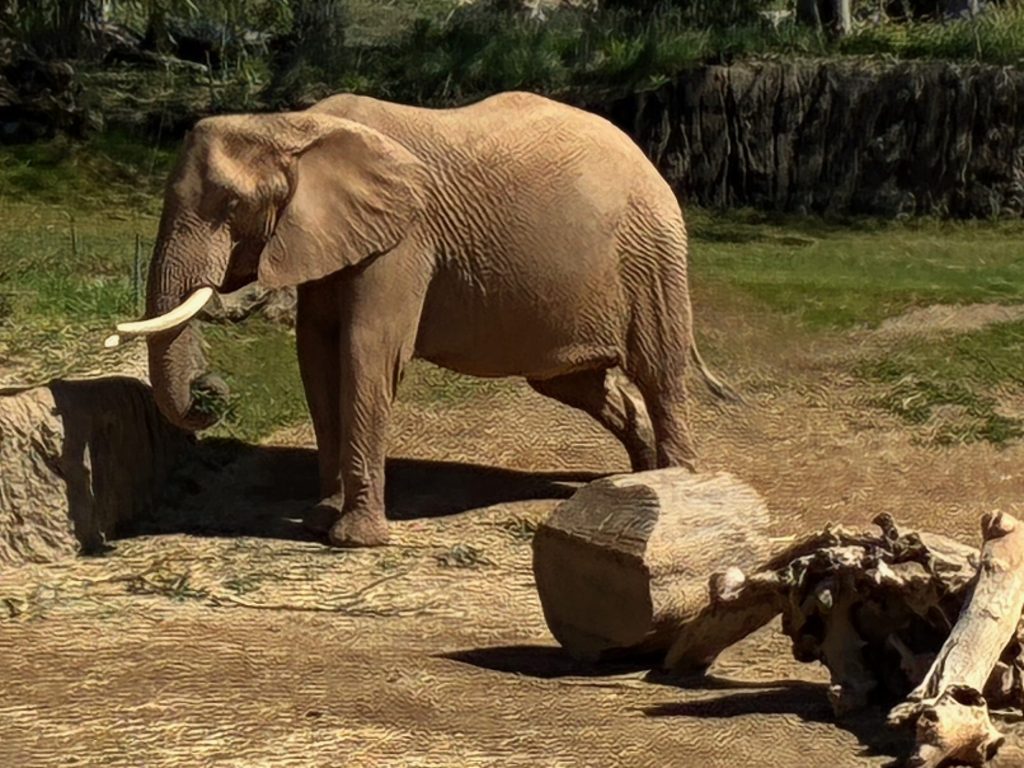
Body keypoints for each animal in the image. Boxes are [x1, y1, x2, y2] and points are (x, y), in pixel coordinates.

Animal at [112, 90, 733, 548]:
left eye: (232, 207)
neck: (293, 124)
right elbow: (316, 355)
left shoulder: (404, 241)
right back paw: (641, 480)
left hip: (649, 256)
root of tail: (650, 163)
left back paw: (678, 489)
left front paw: (354, 540)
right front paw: (320, 519)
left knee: (659, 374)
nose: (211, 388)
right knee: (575, 383)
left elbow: (367, 351)